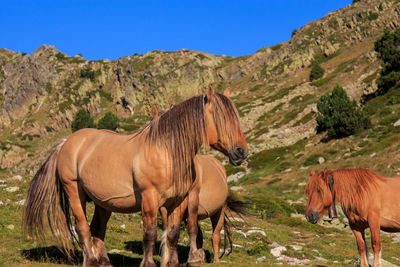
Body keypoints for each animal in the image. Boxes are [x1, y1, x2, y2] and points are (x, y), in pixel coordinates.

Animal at [22, 86, 247, 267]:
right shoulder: (150, 199)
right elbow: (150, 234)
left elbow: (173, 234)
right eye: (220, 118)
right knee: (83, 227)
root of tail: (66, 143)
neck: (165, 151)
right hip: (75, 192)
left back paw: (104, 262)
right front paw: (148, 264)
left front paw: (172, 263)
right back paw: (91, 261)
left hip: (103, 203)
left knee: (97, 228)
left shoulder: (178, 202)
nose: (241, 152)